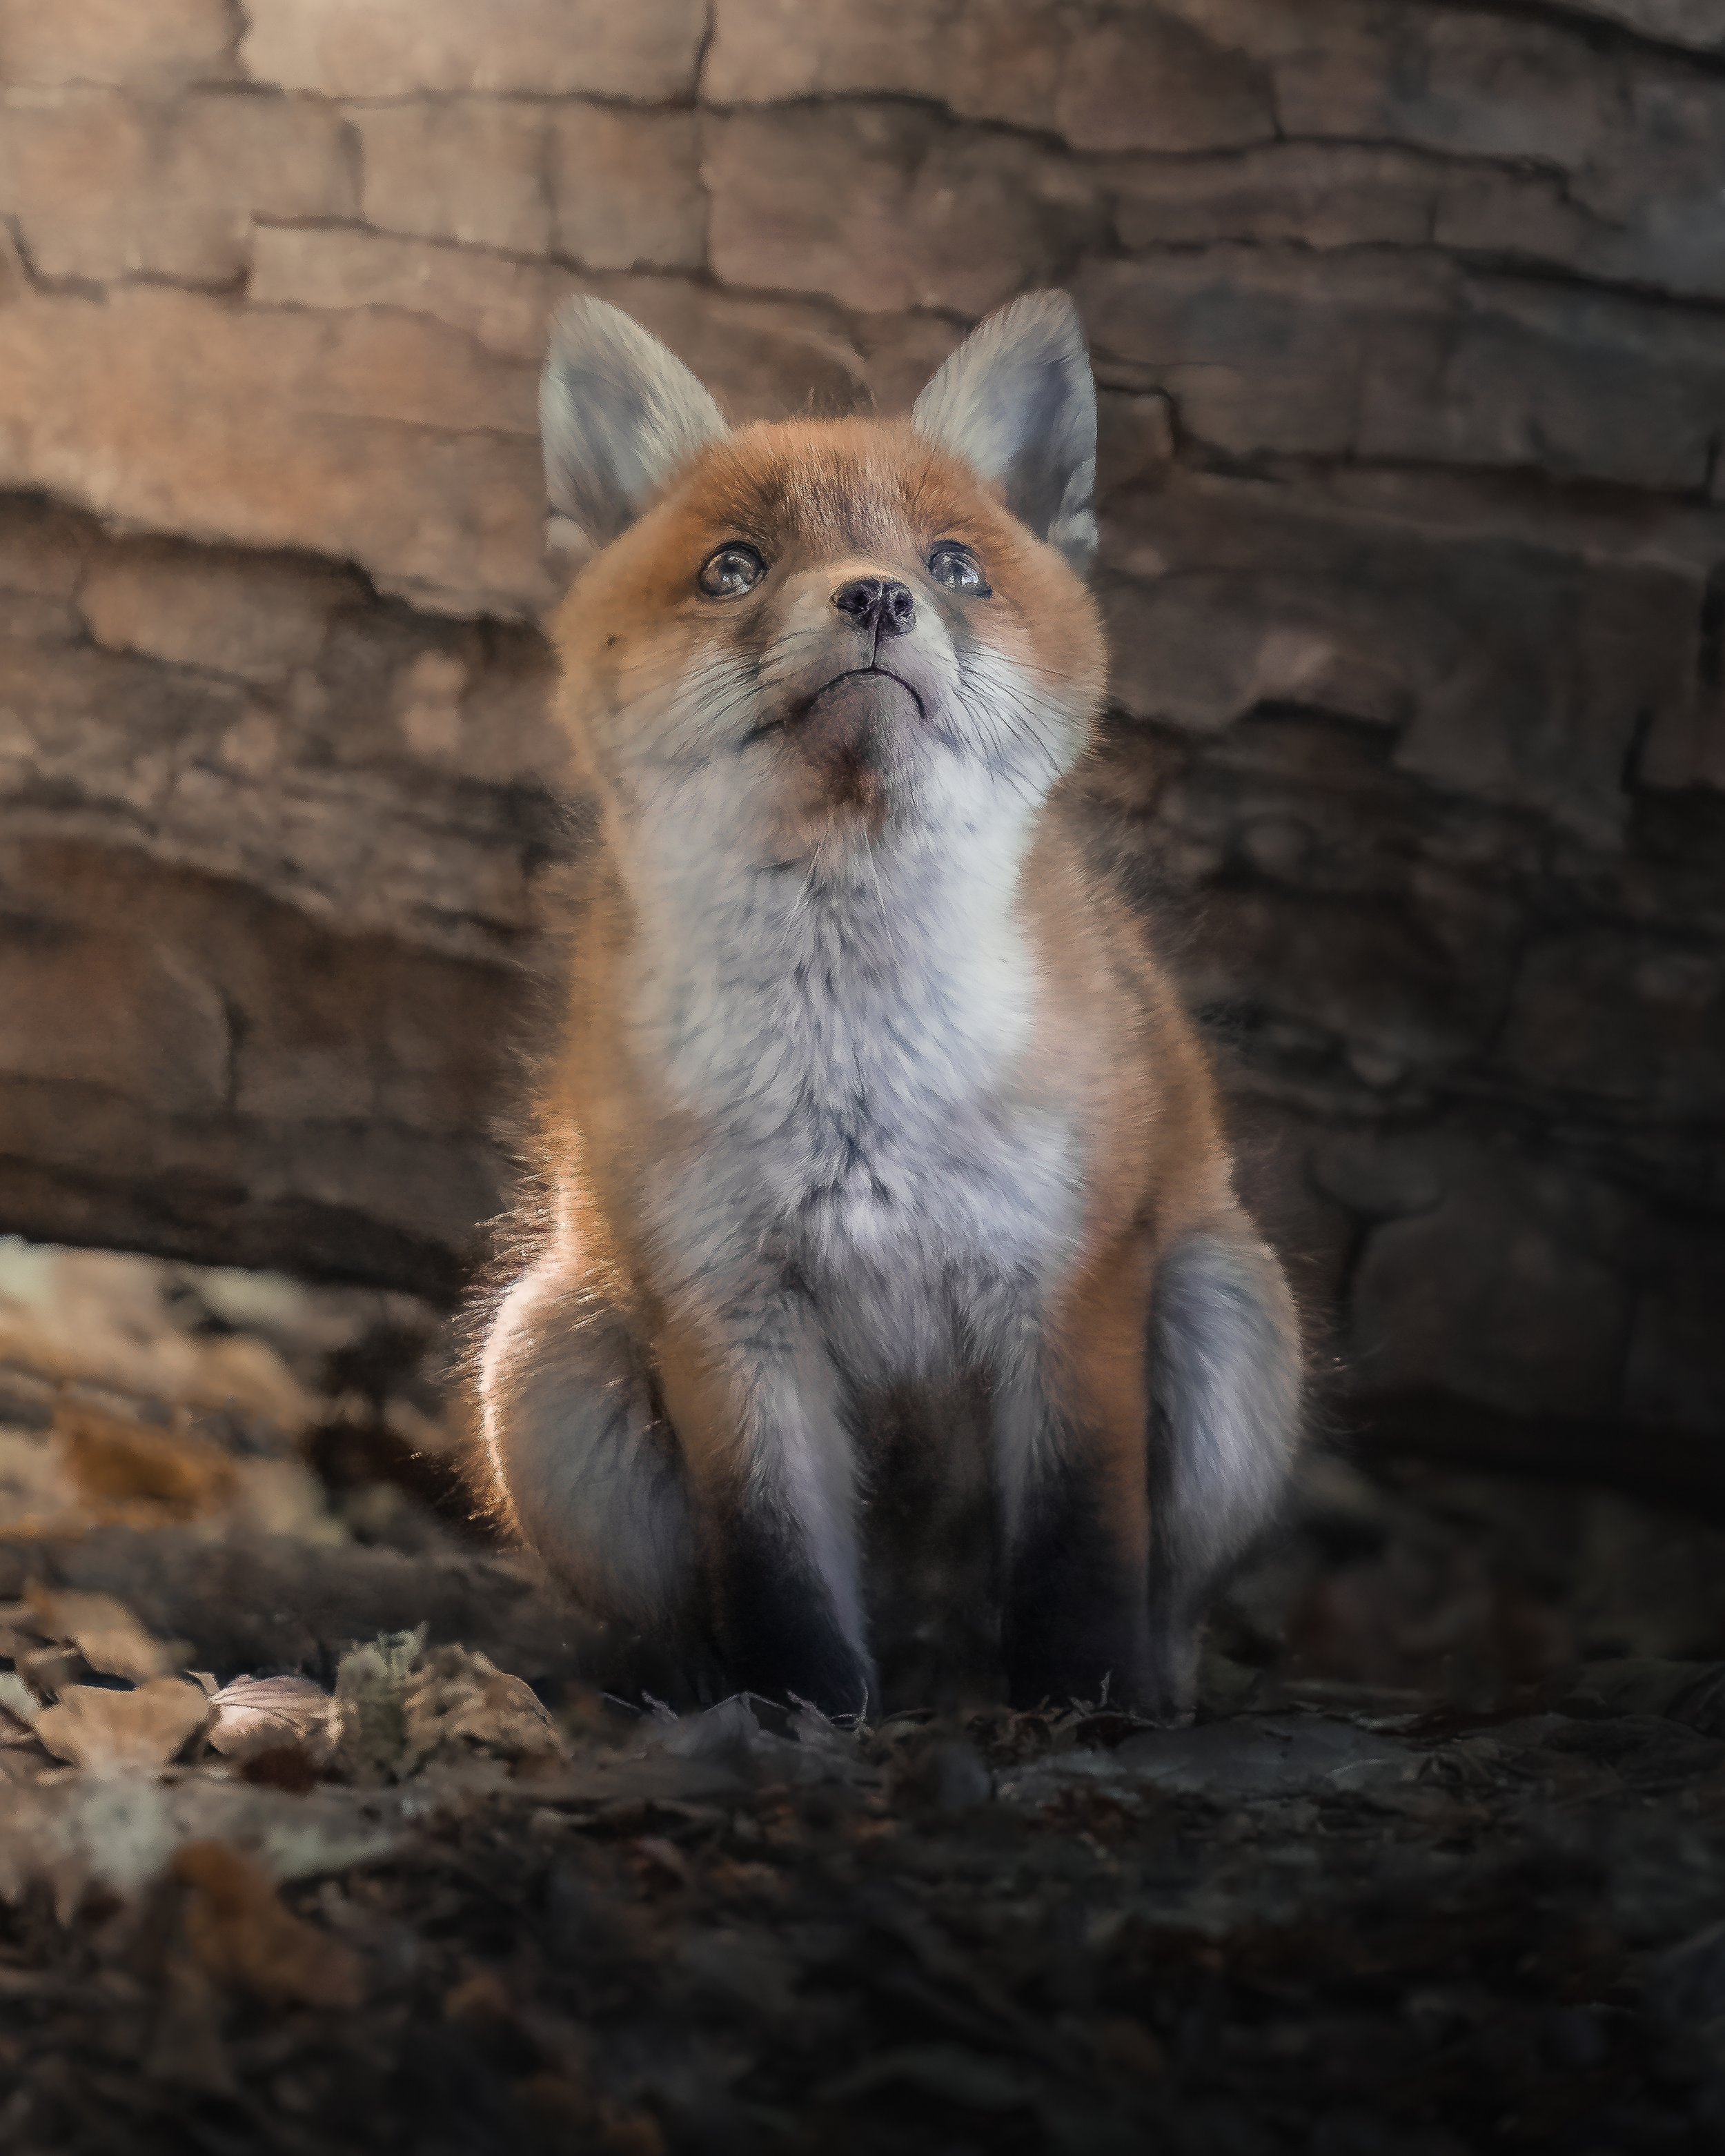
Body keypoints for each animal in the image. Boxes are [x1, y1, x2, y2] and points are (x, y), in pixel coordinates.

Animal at [476, 290, 1301, 1722]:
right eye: (735, 568)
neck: (852, 1072)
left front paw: (1083, 1710)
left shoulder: (1069, 1280)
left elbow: (1085, 1546)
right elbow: (776, 1570)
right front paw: (804, 1718)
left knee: (1172, 1601)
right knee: (680, 1617)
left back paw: (1146, 1690)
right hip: (545, 1368)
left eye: (956, 564)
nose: (874, 594)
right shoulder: (723, 1305)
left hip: (1225, 1309)